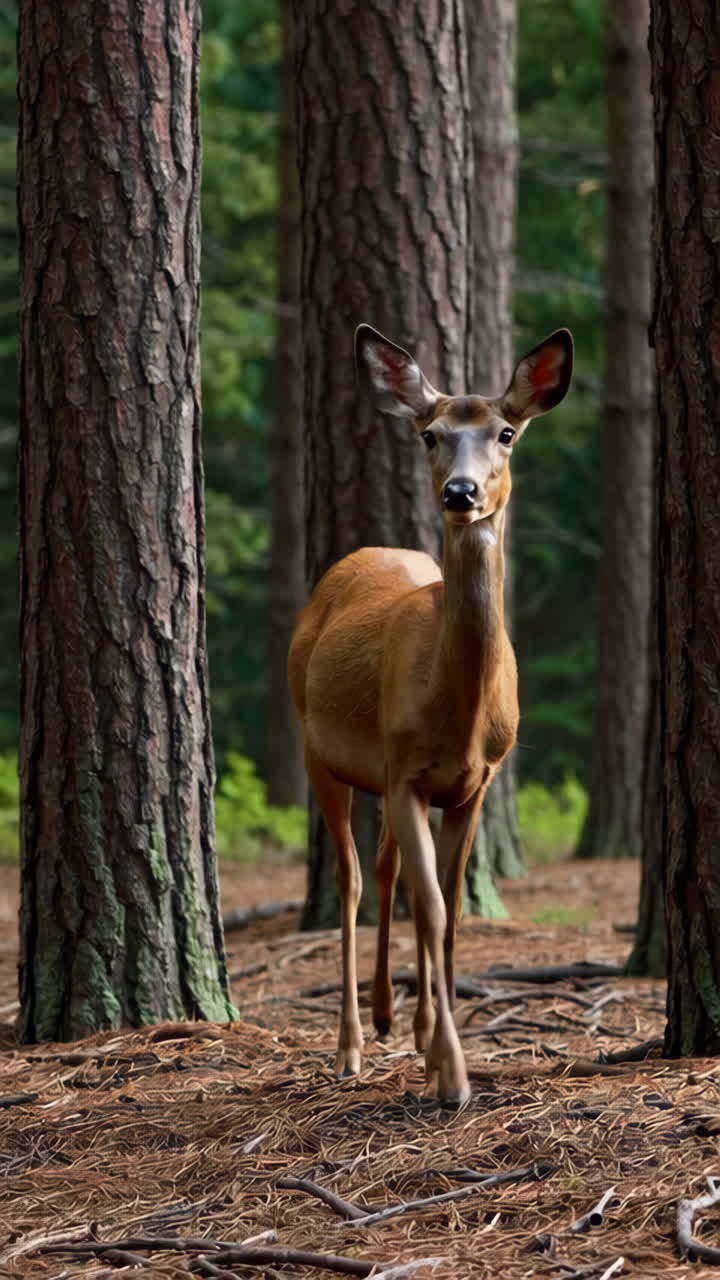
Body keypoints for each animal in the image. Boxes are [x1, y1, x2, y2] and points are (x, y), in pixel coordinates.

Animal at [288, 323, 573, 1105]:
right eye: (431, 434)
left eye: (506, 432)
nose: (461, 491)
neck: (461, 715)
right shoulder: (407, 773)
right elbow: (434, 905)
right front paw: (452, 1076)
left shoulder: (474, 782)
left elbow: (449, 911)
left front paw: (435, 1053)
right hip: (318, 750)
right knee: (355, 879)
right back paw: (353, 1045)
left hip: (383, 775)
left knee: (388, 871)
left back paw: (400, 1024)